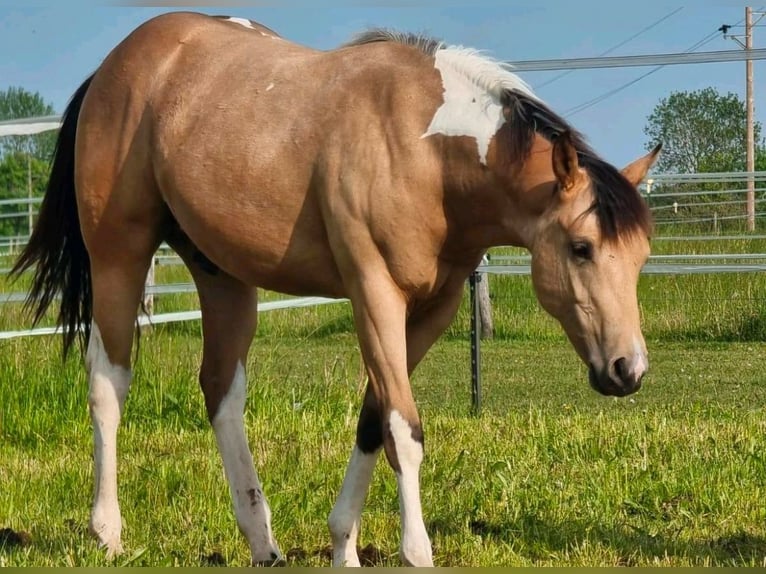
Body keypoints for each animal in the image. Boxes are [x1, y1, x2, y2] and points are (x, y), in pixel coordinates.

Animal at [11, 11, 660, 567]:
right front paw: (416, 552)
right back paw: (107, 532)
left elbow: (375, 418)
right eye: (581, 248)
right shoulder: (375, 295)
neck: (425, 151)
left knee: (221, 391)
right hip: (118, 257)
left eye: (640, 256)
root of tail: (118, 63)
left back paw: (262, 541)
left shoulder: (433, 308)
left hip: (223, 275)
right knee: (108, 382)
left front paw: (344, 544)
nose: (628, 369)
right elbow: (404, 428)